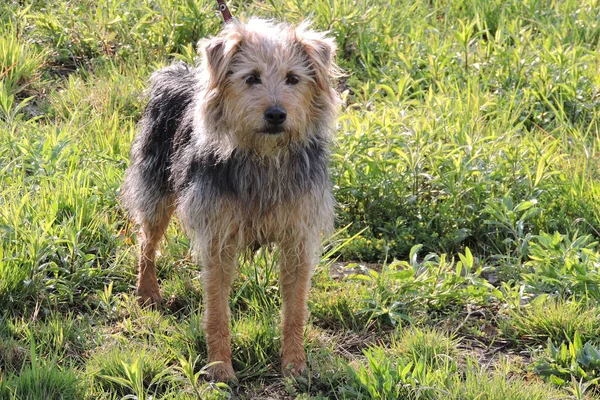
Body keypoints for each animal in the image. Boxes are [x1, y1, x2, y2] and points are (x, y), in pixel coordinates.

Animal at [119, 19, 340, 382]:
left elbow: (295, 310)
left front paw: (295, 364)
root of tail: (178, 74)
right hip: (156, 191)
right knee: (146, 243)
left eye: (293, 78)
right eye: (251, 78)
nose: (276, 114)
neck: (263, 159)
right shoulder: (217, 240)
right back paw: (148, 291)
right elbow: (217, 312)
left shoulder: (297, 239)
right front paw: (220, 367)